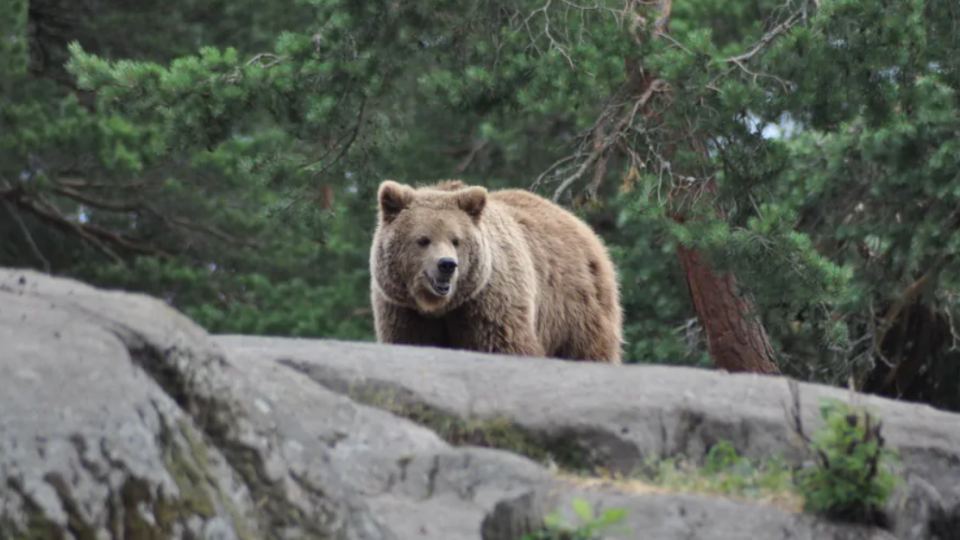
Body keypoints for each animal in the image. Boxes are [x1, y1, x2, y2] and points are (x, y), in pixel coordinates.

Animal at [368, 180, 624, 362]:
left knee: (588, 349)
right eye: (423, 239)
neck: (441, 307)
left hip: (576, 307)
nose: (447, 265)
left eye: (456, 240)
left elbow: (506, 345)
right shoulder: (405, 310)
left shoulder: (489, 303)